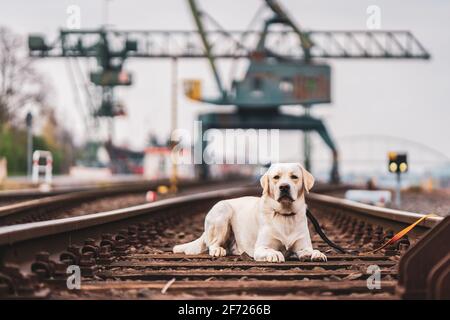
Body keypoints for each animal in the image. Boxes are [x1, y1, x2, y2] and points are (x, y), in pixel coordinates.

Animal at [173, 162, 326, 262]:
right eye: (276, 177)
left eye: (294, 177)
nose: (284, 187)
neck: (285, 214)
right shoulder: (261, 248)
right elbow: (271, 250)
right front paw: (275, 254)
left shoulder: (302, 246)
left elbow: (309, 250)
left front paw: (316, 253)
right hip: (222, 211)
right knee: (213, 243)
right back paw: (218, 250)